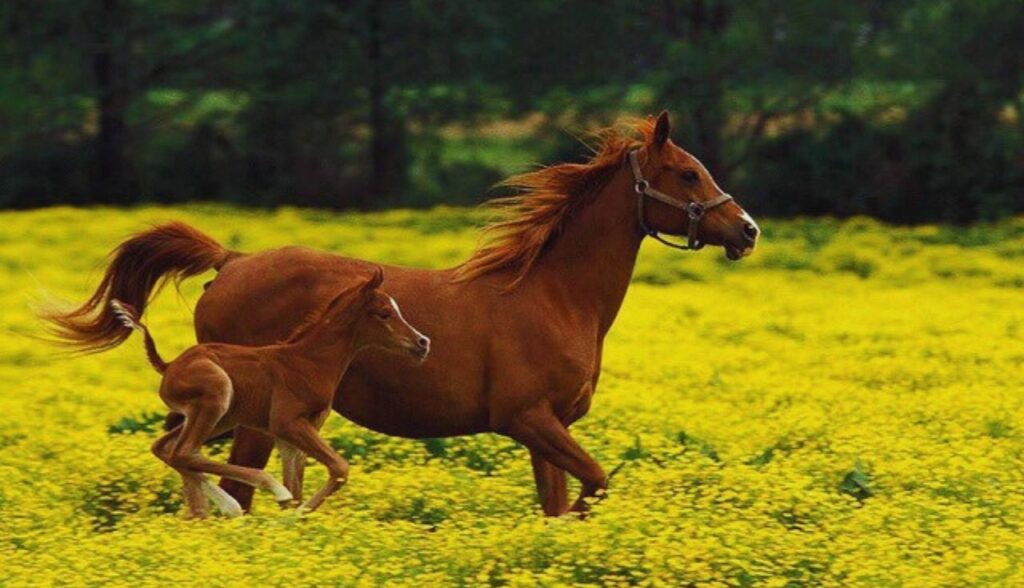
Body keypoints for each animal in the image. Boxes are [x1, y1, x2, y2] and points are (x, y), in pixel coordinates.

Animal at [110, 270, 430, 518]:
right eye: (385, 313)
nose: (422, 342)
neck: (309, 362)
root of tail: (168, 366)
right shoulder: (286, 423)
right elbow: (339, 468)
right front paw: (293, 512)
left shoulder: (293, 434)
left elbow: (300, 484)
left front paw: (291, 520)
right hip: (217, 395)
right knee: (184, 451)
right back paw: (252, 496)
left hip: (219, 417)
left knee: (168, 449)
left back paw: (209, 510)